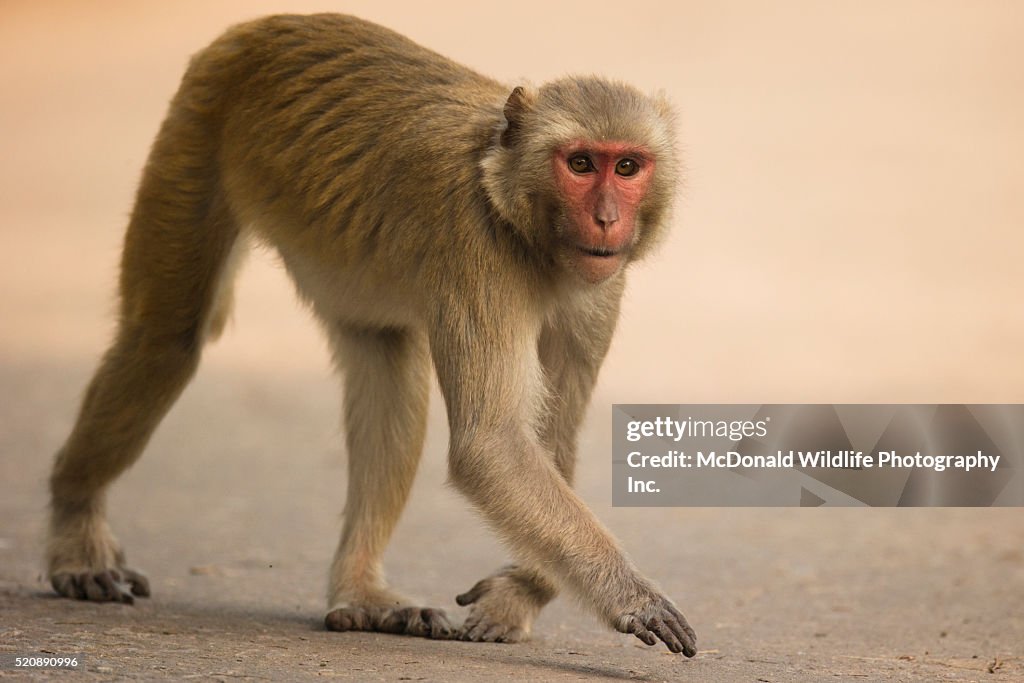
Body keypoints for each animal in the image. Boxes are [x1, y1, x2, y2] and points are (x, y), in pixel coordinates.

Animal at [46, 13, 696, 657]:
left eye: (628, 166)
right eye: (581, 164)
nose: (608, 219)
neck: (516, 210)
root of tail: (260, 25)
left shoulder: (599, 286)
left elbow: (546, 440)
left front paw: (521, 592)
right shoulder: (475, 247)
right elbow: (492, 446)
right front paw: (630, 596)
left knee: (388, 362)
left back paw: (360, 595)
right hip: (196, 127)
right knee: (164, 340)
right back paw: (76, 529)